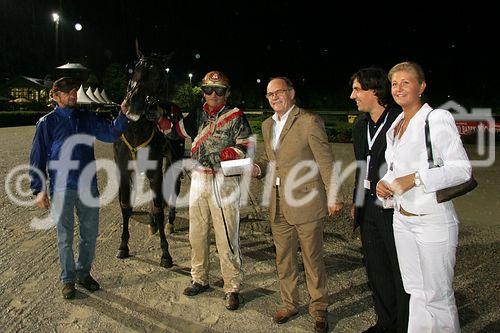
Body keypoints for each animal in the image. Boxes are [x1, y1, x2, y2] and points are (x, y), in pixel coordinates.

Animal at [113, 45, 174, 268]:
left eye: (158, 75)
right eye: (134, 69)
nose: (134, 105)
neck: (136, 130)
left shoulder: (155, 170)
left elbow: (158, 207)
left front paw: (165, 253)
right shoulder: (124, 169)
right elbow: (125, 206)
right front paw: (123, 246)